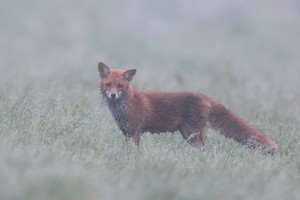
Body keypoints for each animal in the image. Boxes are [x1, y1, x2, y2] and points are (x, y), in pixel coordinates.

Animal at [97, 61, 278, 154]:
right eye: (108, 85)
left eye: (120, 86)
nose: (112, 95)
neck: (125, 106)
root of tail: (204, 96)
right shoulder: (127, 132)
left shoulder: (135, 132)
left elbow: (133, 150)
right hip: (189, 134)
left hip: (192, 134)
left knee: (205, 149)